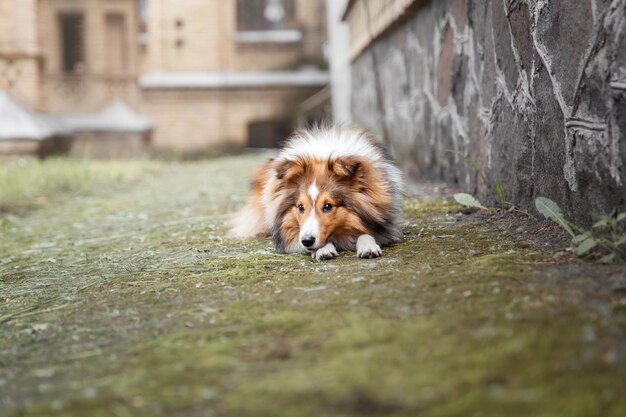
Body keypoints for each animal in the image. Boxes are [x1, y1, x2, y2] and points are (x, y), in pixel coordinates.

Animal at [227, 125, 402, 258]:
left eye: (328, 206)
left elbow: (367, 233)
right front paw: (323, 250)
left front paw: (368, 247)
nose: (307, 241)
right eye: (300, 207)